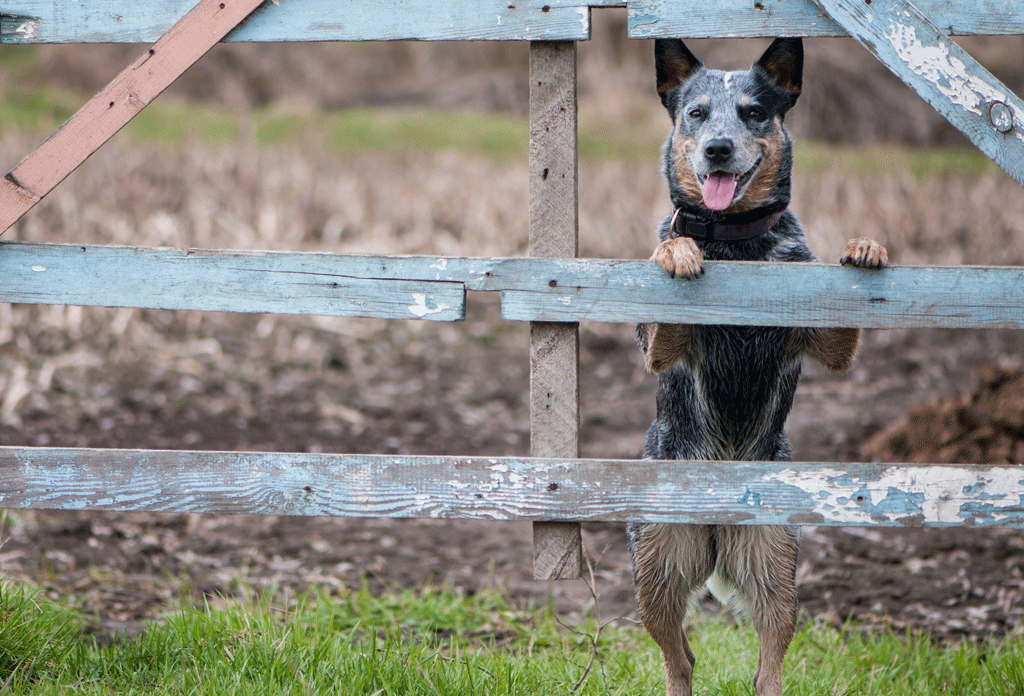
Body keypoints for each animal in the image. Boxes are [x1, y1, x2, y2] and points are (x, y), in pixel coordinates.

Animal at [626, 38, 884, 696]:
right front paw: (678, 249)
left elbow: (841, 326)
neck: (737, 243)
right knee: (680, 658)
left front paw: (865, 246)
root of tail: (718, 520)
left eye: (753, 113)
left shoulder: (824, 341)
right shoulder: (659, 349)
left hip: (774, 560)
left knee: (770, 659)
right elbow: (668, 276)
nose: (718, 147)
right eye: (696, 114)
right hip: (657, 564)